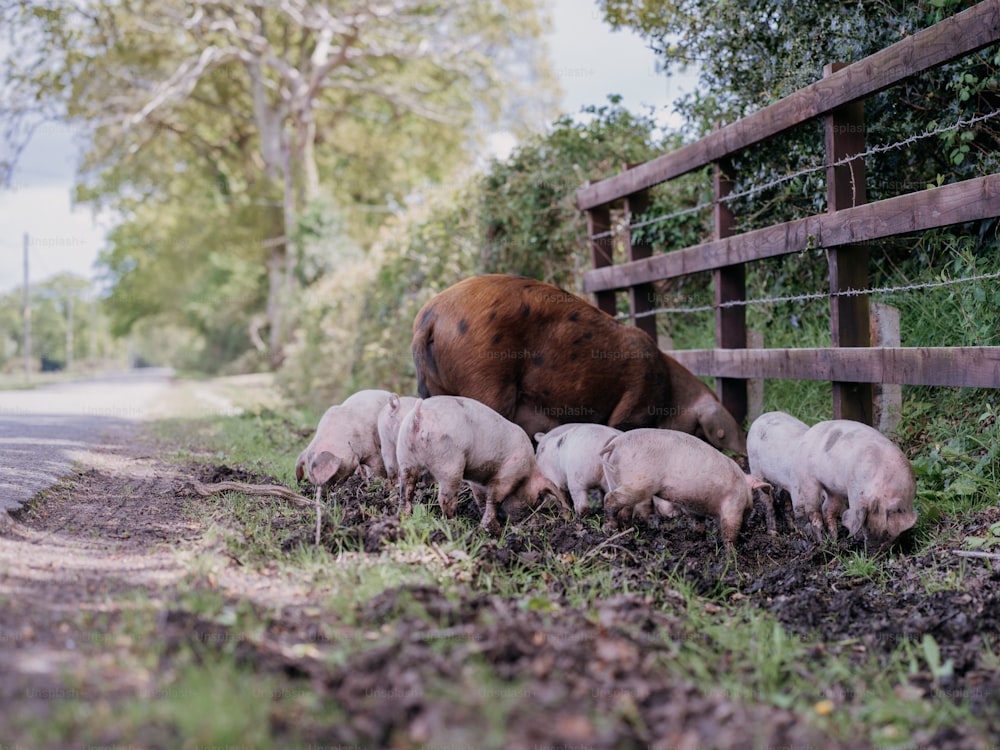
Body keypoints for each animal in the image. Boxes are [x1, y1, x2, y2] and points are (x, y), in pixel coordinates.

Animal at [398, 400, 572, 536]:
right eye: (537, 499)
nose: (507, 518)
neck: (528, 471)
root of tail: (418, 416)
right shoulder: (508, 473)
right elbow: (494, 498)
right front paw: (494, 530)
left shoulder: (478, 480)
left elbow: (481, 498)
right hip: (448, 462)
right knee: (445, 498)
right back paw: (456, 523)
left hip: (405, 456)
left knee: (406, 488)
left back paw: (404, 517)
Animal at [410, 274, 748, 456]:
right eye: (701, 433)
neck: (671, 393)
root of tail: (430, 317)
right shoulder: (636, 403)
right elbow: (621, 427)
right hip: (485, 375)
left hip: (439, 386)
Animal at [596, 432, 768, 548]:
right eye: (749, 508)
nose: (746, 529)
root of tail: (615, 444)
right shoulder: (733, 502)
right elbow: (729, 526)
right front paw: (732, 553)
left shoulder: (693, 506)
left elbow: (698, 521)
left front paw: (699, 539)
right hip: (639, 482)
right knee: (610, 499)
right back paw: (609, 529)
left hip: (614, 479)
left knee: (623, 508)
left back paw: (627, 531)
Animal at [792, 418, 916, 548]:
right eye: (866, 525)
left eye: (887, 533)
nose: (873, 548)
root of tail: (806, 435)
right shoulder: (854, 488)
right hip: (806, 479)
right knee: (813, 510)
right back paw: (822, 542)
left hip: (833, 488)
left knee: (827, 508)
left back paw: (834, 540)